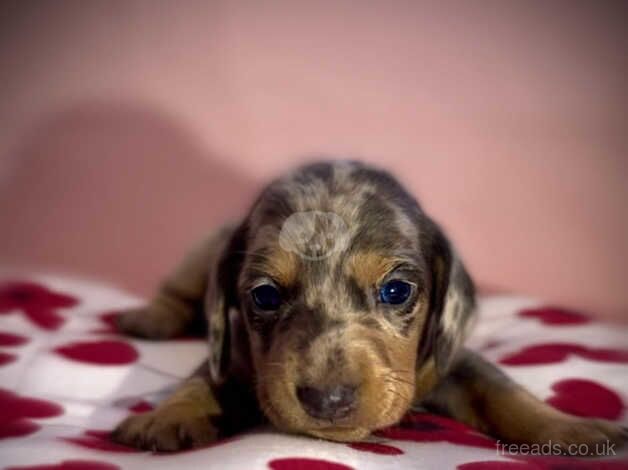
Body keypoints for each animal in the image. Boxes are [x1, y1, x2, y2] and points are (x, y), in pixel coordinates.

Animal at [113, 161, 628, 452]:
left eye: (396, 291)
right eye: (265, 295)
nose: (329, 401)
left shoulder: (448, 362)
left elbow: (502, 392)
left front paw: (572, 428)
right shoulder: (236, 353)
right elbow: (202, 379)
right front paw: (168, 415)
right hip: (203, 250)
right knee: (177, 292)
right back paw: (148, 318)